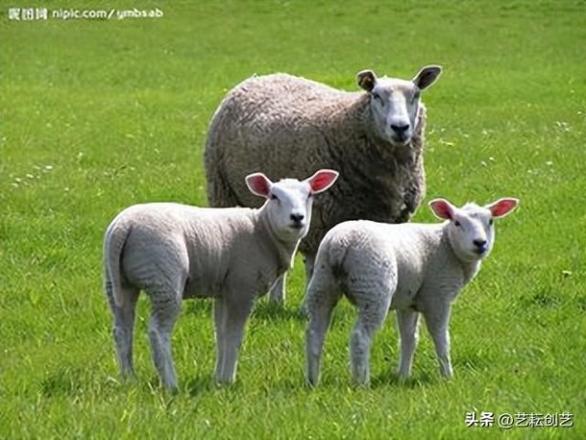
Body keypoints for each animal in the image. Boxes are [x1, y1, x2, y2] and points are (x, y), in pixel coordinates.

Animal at [102, 170, 336, 390]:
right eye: (273, 196)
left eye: (309, 194)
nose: (297, 217)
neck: (262, 231)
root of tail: (124, 226)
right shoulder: (242, 287)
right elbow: (234, 336)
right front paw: (228, 380)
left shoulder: (225, 290)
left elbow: (221, 334)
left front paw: (218, 379)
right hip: (165, 278)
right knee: (158, 332)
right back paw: (171, 384)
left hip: (117, 282)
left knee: (122, 330)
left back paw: (129, 379)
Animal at [203, 65, 440, 304]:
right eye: (376, 95)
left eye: (416, 95)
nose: (400, 128)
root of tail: (261, 77)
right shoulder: (317, 220)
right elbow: (314, 267)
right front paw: (309, 305)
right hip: (223, 191)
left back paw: (276, 301)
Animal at [304, 196, 516, 384]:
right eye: (457, 222)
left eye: (490, 221)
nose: (480, 243)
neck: (446, 246)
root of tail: (341, 243)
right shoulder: (438, 296)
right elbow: (441, 338)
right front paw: (447, 376)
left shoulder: (408, 302)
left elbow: (409, 339)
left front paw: (403, 376)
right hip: (373, 289)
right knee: (360, 337)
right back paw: (362, 382)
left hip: (322, 283)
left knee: (314, 334)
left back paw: (313, 381)